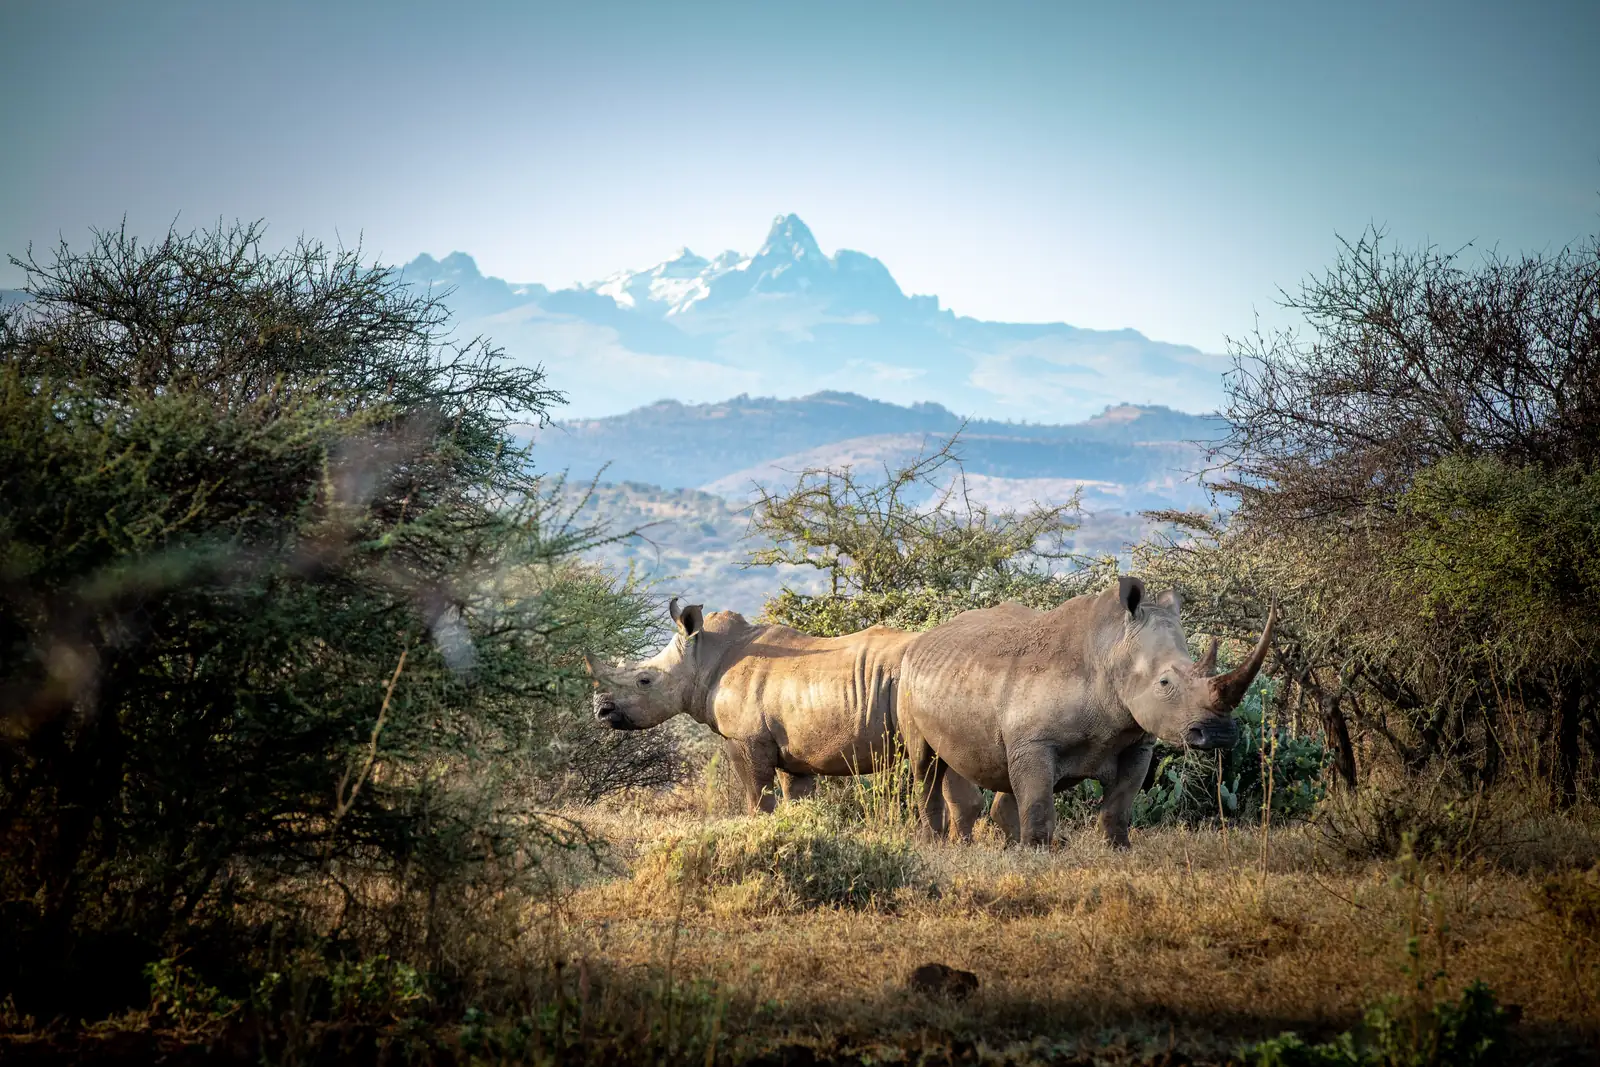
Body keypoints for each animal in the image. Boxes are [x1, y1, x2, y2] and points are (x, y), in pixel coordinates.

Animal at [583, 598, 982, 832]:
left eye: (644, 680)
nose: (601, 710)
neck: (702, 658)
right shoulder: (795, 752)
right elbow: (797, 800)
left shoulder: (745, 740)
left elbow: (758, 798)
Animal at [898, 577, 1276, 849]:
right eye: (1165, 682)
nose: (1220, 734)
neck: (1111, 648)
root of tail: (924, 638)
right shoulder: (1036, 742)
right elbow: (1038, 802)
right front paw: (1037, 853)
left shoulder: (1136, 741)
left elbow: (1120, 803)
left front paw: (1118, 849)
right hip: (906, 677)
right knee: (925, 765)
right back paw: (934, 845)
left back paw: (995, 846)